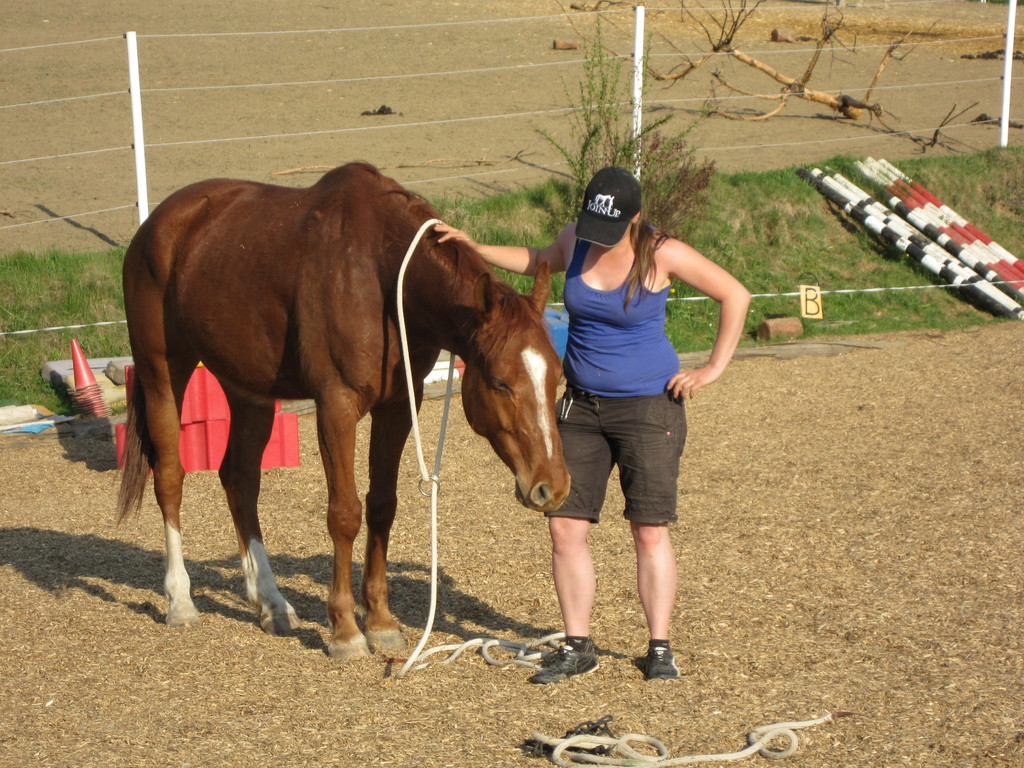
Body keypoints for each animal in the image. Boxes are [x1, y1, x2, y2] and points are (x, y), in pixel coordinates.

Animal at [116, 162, 573, 663]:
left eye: (557, 376)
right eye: (499, 382)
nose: (552, 486)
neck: (382, 274)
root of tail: (157, 224)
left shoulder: (398, 405)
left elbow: (382, 506)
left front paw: (380, 621)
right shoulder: (336, 404)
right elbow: (344, 513)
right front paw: (345, 629)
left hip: (248, 389)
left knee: (239, 480)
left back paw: (270, 602)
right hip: (163, 371)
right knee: (170, 477)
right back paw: (180, 599)